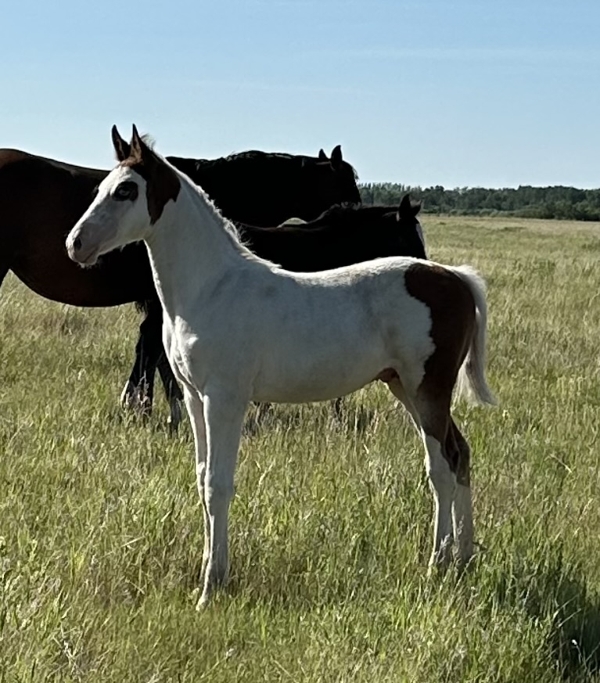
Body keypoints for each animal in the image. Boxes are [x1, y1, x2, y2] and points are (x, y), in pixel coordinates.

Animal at [67, 126, 495, 607]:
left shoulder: (225, 399)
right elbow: (201, 479)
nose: (76, 244)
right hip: (405, 387)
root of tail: (455, 278)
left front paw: (211, 588)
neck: (211, 288)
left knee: (440, 466)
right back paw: (464, 559)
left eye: (127, 190)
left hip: (427, 388)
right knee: (459, 453)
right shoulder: (194, 399)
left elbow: (218, 485)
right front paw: (209, 573)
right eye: (99, 188)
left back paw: (437, 565)